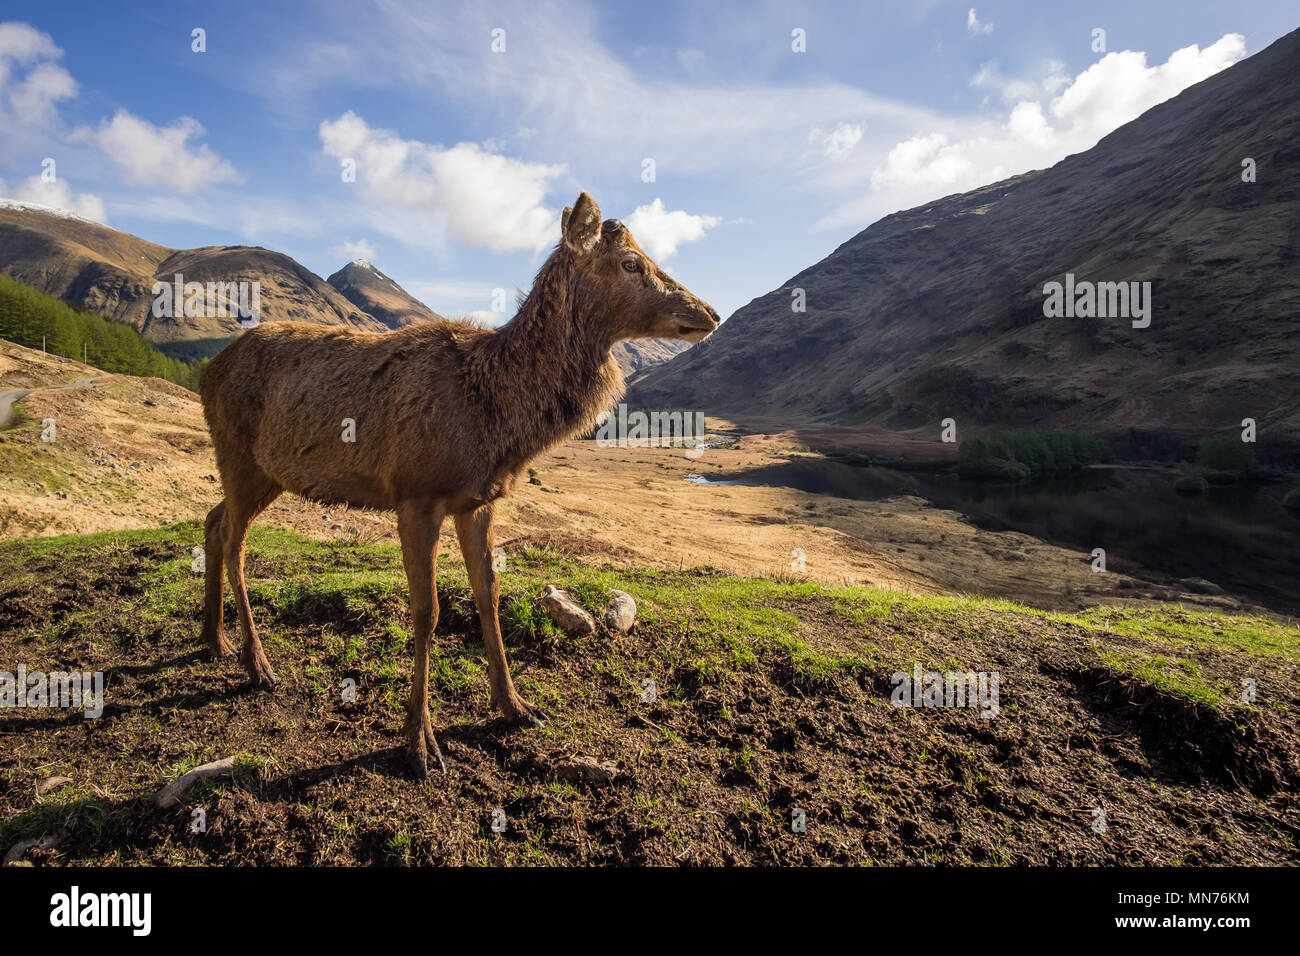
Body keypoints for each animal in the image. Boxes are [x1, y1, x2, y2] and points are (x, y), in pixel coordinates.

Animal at [200, 192, 722, 780]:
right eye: (632, 262)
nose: (710, 313)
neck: (496, 415)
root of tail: (205, 372)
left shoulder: (479, 501)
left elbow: (488, 596)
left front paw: (515, 705)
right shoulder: (414, 495)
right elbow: (426, 613)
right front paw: (420, 743)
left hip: (266, 473)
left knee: (214, 520)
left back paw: (214, 638)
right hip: (239, 455)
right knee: (234, 540)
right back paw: (257, 663)